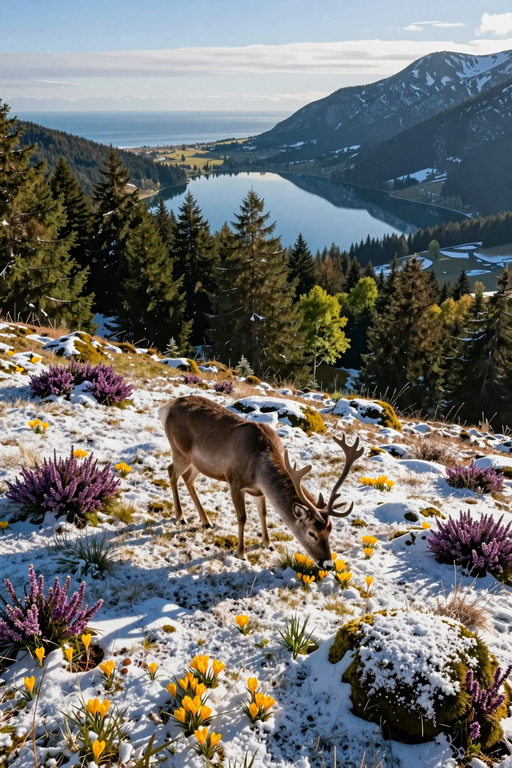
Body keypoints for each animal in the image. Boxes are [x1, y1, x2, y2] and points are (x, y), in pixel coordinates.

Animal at [158, 395, 364, 568]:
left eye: (330, 531)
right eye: (312, 533)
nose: (328, 564)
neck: (259, 471)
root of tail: (167, 406)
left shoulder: (260, 491)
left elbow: (263, 514)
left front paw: (268, 544)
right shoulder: (235, 481)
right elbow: (242, 517)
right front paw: (241, 554)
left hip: (198, 463)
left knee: (187, 479)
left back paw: (206, 521)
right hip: (180, 450)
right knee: (171, 471)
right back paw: (181, 516)